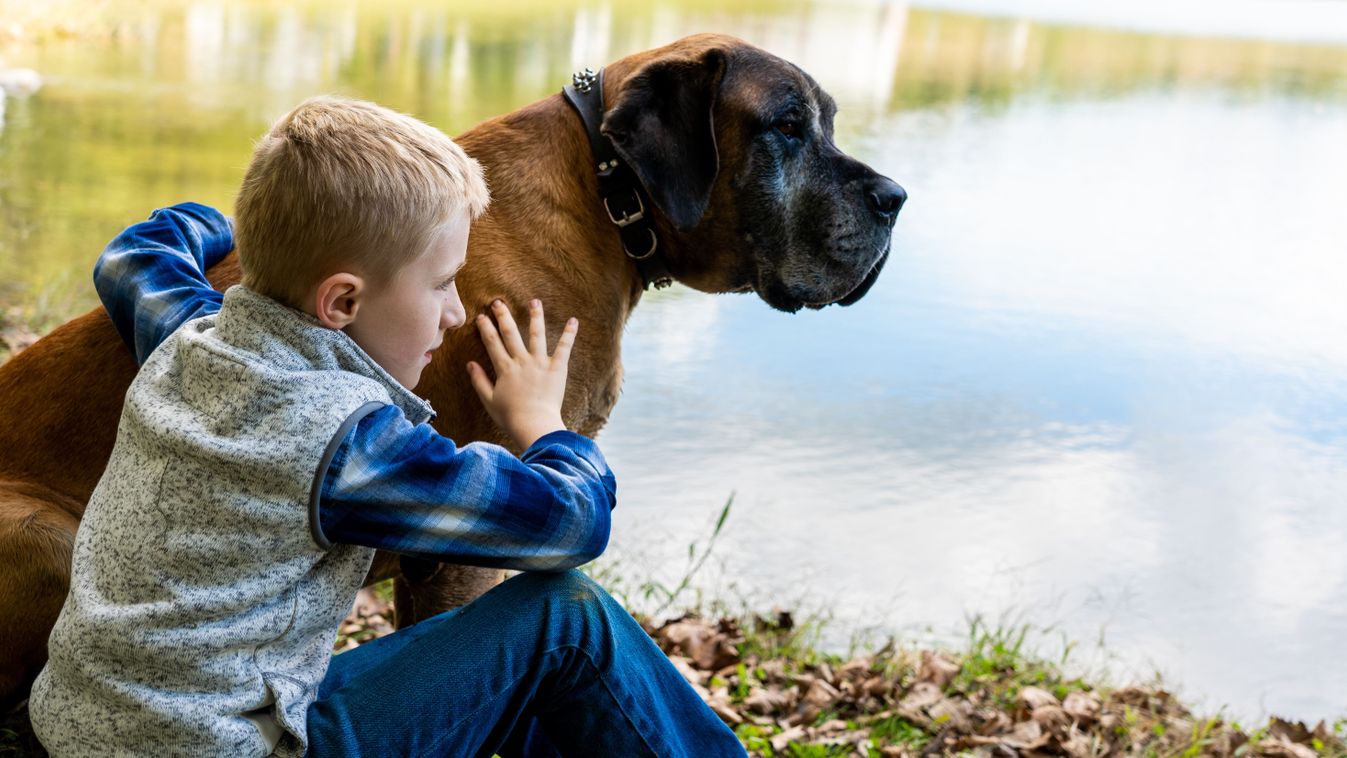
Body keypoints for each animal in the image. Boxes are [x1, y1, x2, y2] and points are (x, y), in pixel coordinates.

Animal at [2, 32, 905, 710]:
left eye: (823, 122)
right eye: (785, 126)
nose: (894, 197)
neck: (603, 196)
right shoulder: (471, 549)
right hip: (49, 535)